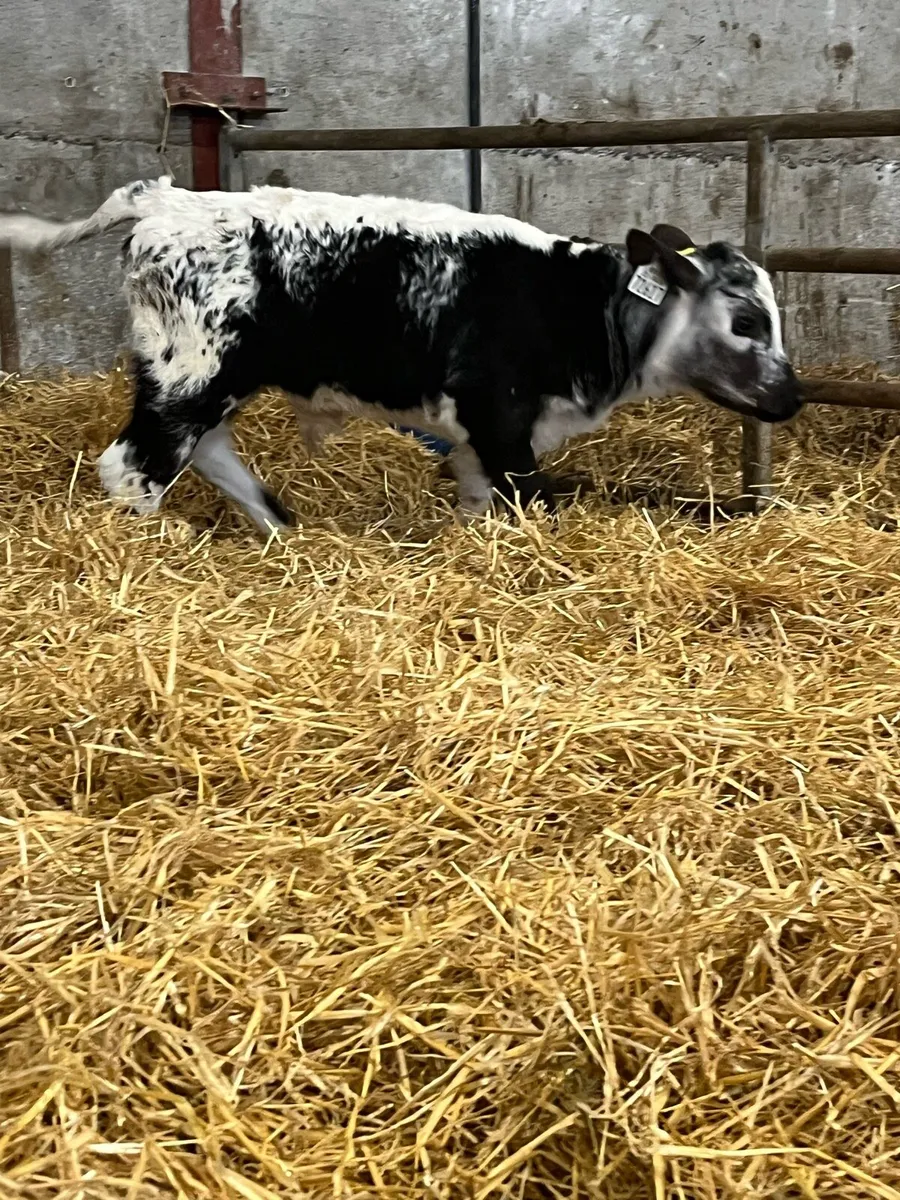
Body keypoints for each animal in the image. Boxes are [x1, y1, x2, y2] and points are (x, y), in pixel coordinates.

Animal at [0, 177, 801, 530]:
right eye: (747, 321)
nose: (793, 398)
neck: (575, 303)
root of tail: (167, 198)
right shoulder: (501, 418)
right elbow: (531, 501)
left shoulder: (480, 440)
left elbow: (482, 506)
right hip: (188, 374)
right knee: (133, 467)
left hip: (208, 380)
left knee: (208, 451)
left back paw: (280, 529)